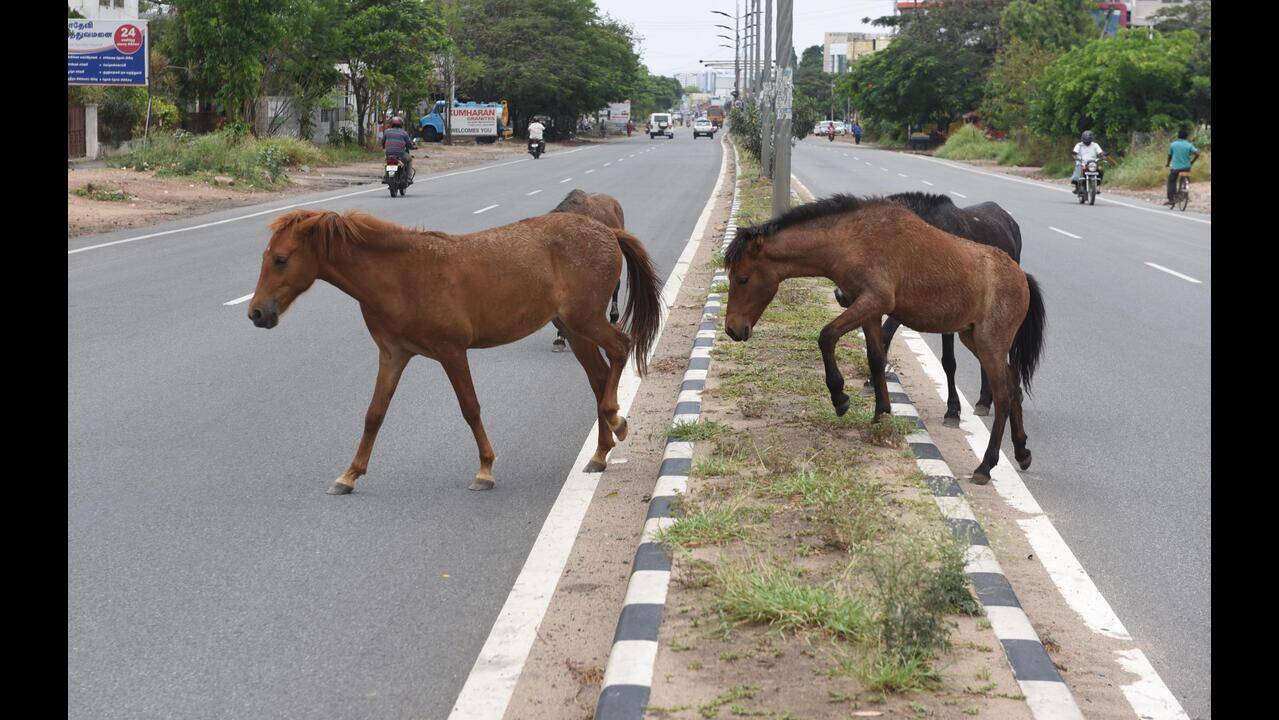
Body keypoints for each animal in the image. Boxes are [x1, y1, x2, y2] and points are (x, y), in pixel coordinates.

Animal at [247, 208, 662, 495]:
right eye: (266, 257)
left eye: (281, 259)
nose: (256, 313)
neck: (401, 275)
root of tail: (608, 231)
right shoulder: (393, 356)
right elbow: (374, 415)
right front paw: (349, 475)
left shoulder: (452, 353)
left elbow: (470, 408)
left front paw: (485, 470)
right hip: (575, 331)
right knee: (599, 377)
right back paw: (600, 452)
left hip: (585, 321)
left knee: (620, 350)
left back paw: (616, 422)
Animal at [832, 192, 1022, 423]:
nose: (841, 295)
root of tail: (1010, 221)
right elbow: (884, 336)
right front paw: (871, 382)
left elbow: (949, 361)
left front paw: (953, 409)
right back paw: (985, 400)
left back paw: (987, 399)